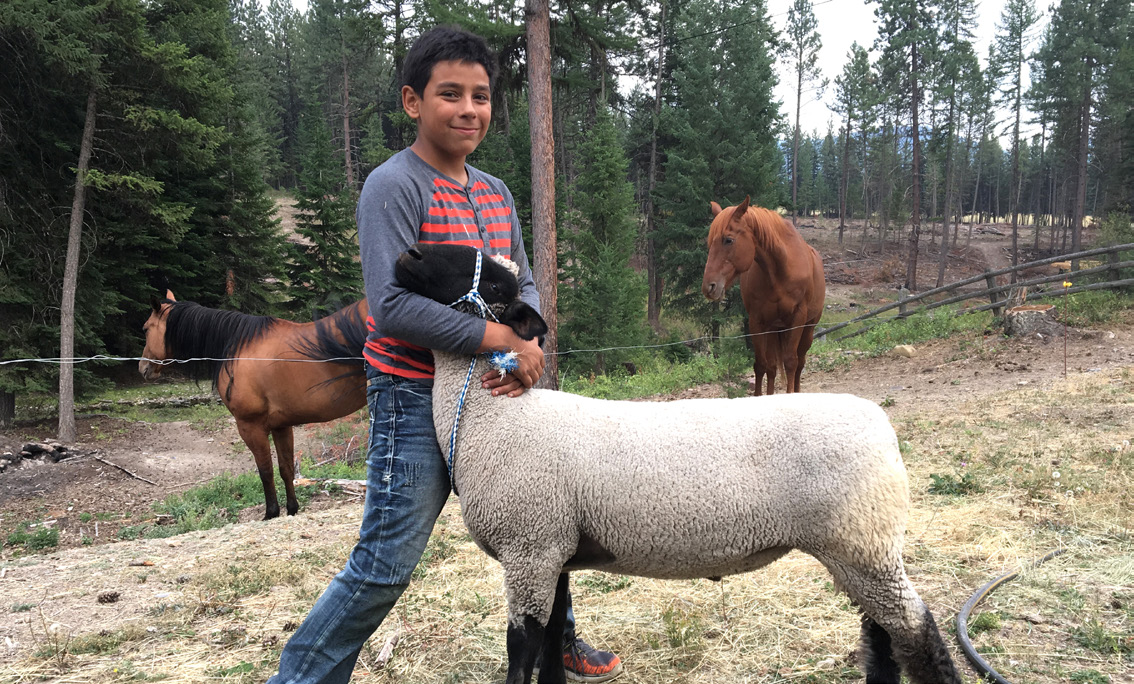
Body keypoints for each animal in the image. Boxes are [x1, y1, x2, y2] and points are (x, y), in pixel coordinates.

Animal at [136, 292, 367, 521]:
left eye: (146, 328)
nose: (142, 368)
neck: (240, 349)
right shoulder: (281, 426)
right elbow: (286, 469)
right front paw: (292, 509)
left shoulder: (250, 427)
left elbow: (265, 471)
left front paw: (271, 512)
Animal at [394, 242, 961, 684]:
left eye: (493, 283)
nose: (409, 254)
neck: (493, 417)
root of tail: (881, 425)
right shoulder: (552, 550)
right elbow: (553, 646)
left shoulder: (527, 548)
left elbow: (521, 654)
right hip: (861, 548)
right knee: (882, 636)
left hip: (863, 543)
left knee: (918, 632)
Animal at [698, 196, 825, 397]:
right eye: (710, 242)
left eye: (728, 240)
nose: (709, 287)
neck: (780, 271)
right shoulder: (757, 321)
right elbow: (761, 365)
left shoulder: (797, 318)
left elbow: (791, 362)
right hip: (774, 329)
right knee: (772, 368)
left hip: (809, 328)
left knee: (800, 363)